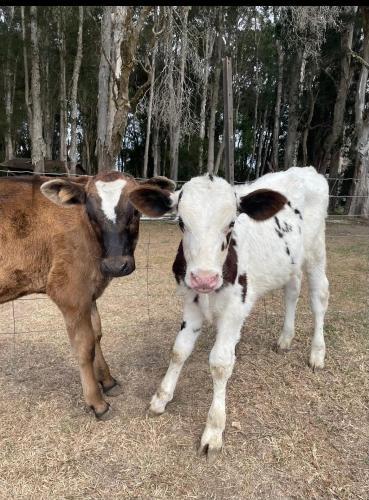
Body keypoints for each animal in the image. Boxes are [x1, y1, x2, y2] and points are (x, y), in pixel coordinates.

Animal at [0, 171, 175, 418]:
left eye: (135, 211)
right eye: (91, 215)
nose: (115, 265)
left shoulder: (88, 292)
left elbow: (97, 334)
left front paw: (108, 381)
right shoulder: (70, 291)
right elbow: (84, 346)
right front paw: (97, 402)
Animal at [129, 167, 328, 460]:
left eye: (232, 223)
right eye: (181, 222)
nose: (204, 278)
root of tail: (306, 169)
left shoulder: (235, 310)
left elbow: (221, 363)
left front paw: (213, 430)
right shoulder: (190, 303)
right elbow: (179, 351)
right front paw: (161, 397)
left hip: (316, 252)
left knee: (319, 297)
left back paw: (317, 353)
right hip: (290, 263)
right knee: (292, 291)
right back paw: (285, 339)